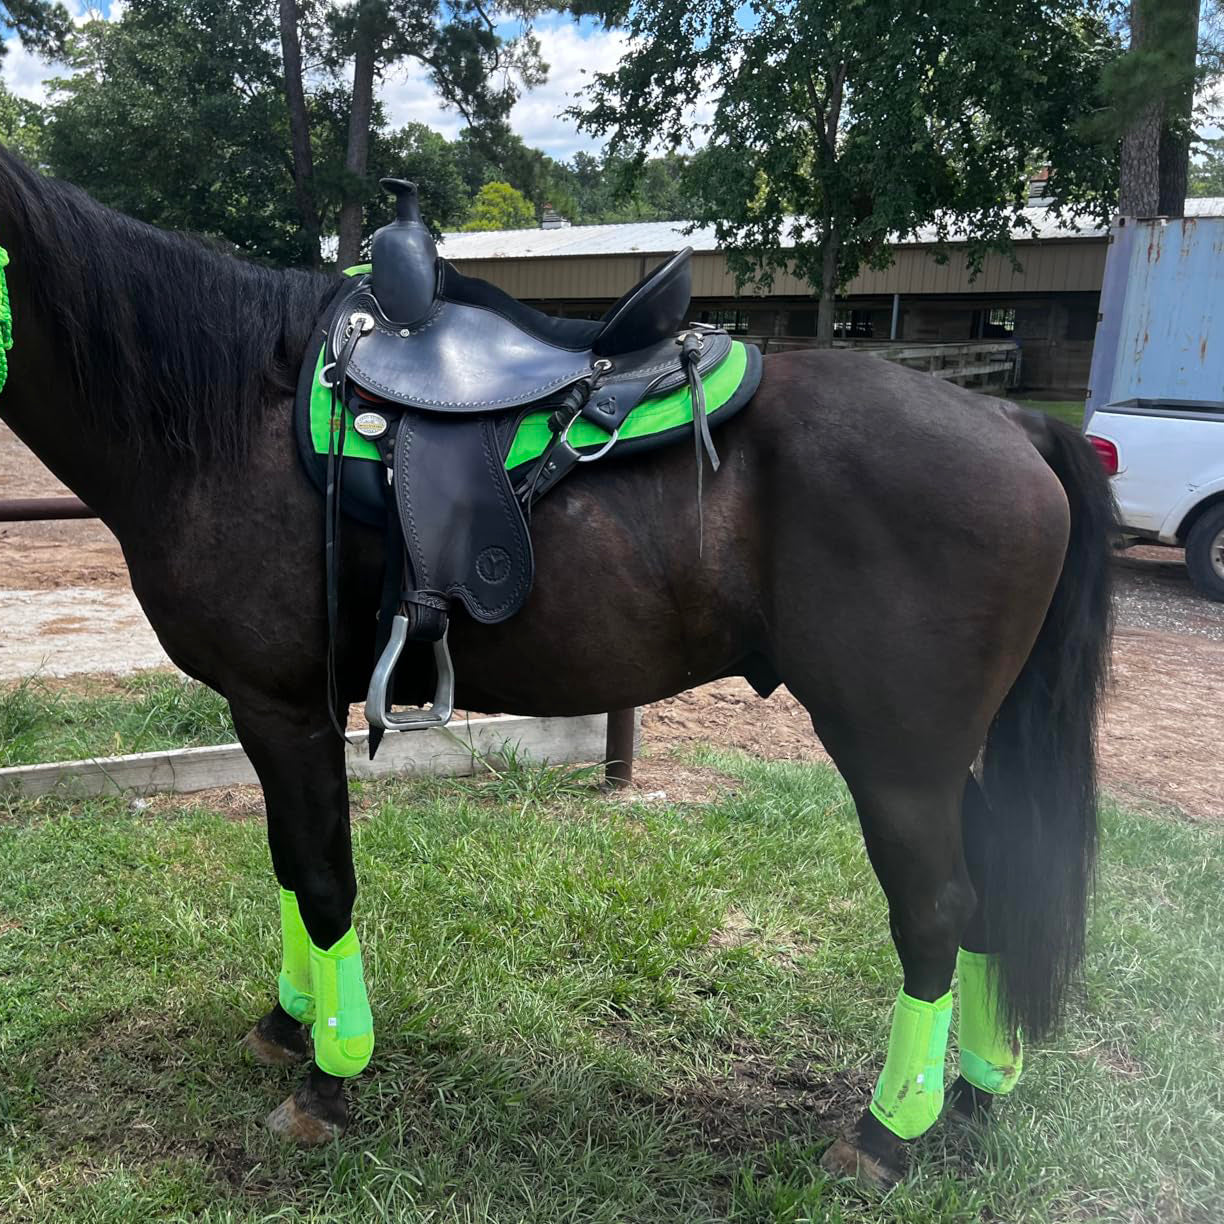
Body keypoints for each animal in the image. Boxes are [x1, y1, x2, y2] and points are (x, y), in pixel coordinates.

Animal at [0, 147, 1113, 1189]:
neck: (231, 413)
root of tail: (1013, 422)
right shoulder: (263, 713)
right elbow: (286, 867)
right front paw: (288, 1023)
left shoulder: (285, 709)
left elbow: (320, 879)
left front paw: (331, 1072)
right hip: (939, 753)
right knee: (993, 885)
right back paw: (975, 1095)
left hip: (894, 754)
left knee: (936, 910)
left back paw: (888, 1132)